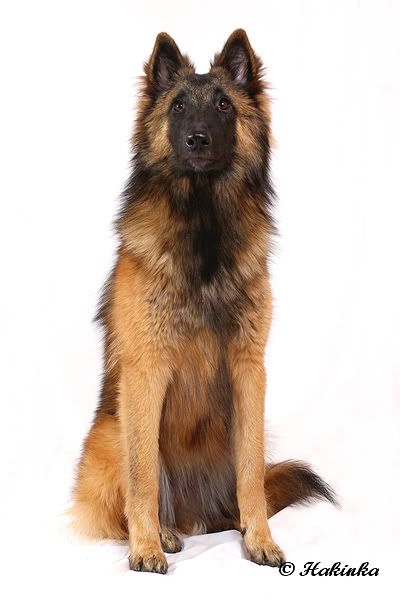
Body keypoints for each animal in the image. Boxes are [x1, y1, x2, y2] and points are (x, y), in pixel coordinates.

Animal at [71, 29, 336, 574]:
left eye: (222, 105)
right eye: (177, 107)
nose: (197, 138)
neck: (203, 222)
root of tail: (196, 514)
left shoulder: (249, 369)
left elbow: (252, 473)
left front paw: (260, 538)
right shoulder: (145, 371)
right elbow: (143, 475)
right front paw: (146, 545)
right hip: (109, 433)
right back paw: (165, 532)